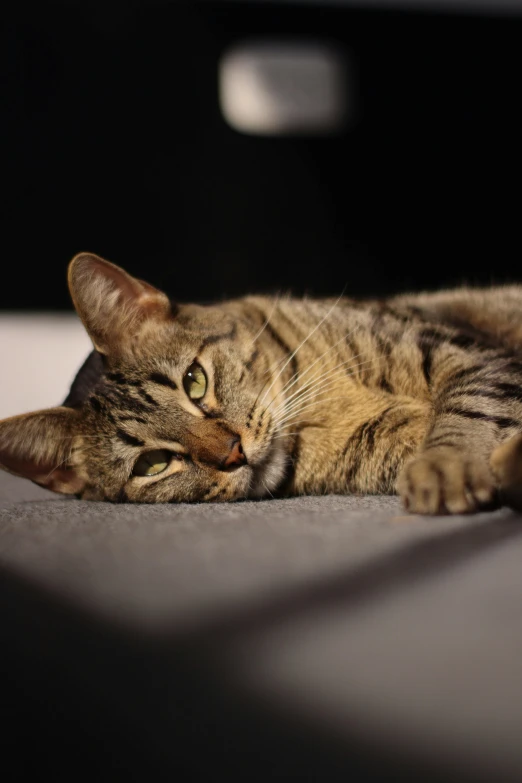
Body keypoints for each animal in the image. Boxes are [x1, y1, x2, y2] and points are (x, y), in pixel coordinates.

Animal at [1, 251, 520, 516]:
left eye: (194, 381)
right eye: (152, 464)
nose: (232, 452)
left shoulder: (465, 352)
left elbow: (465, 407)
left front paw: (445, 464)